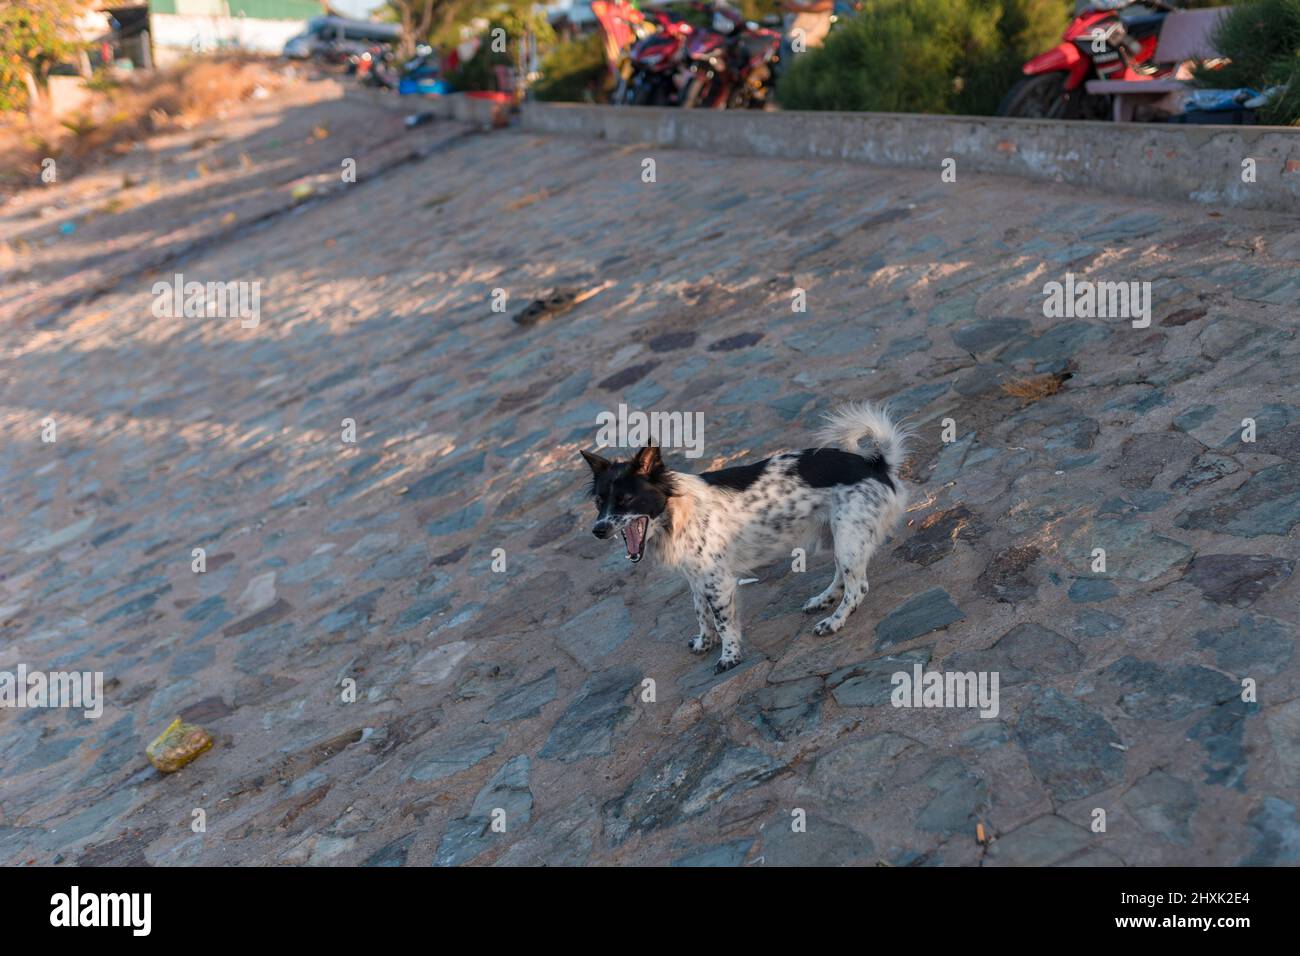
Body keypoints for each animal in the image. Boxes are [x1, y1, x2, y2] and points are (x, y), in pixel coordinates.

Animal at [585, 403, 909, 671]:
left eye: (626, 499)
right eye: (599, 501)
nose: (597, 531)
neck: (675, 511)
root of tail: (876, 465)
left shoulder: (718, 582)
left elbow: (722, 621)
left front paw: (729, 656)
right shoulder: (696, 577)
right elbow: (701, 612)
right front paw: (704, 642)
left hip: (848, 539)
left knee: (858, 588)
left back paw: (833, 622)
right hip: (837, 536)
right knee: (842, 577)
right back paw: (822, 600)